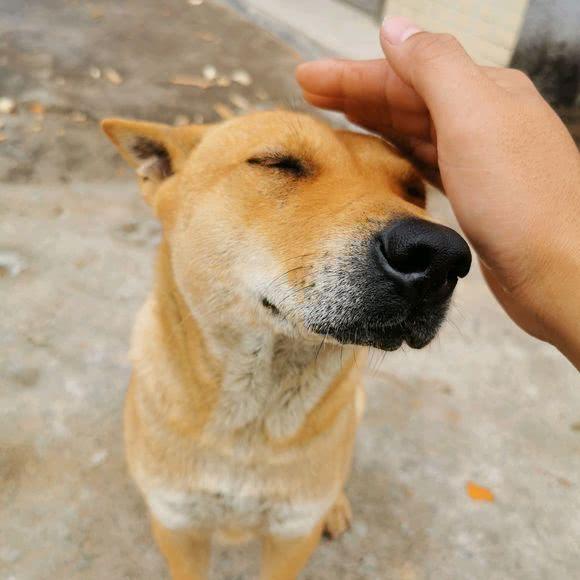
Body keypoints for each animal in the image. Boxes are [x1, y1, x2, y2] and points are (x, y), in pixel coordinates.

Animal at [102, 110, 468, 580]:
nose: (440, 256)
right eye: (280, 163)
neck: (253, 419)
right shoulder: (178, 525)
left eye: (414, 190)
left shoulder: (292, 534)